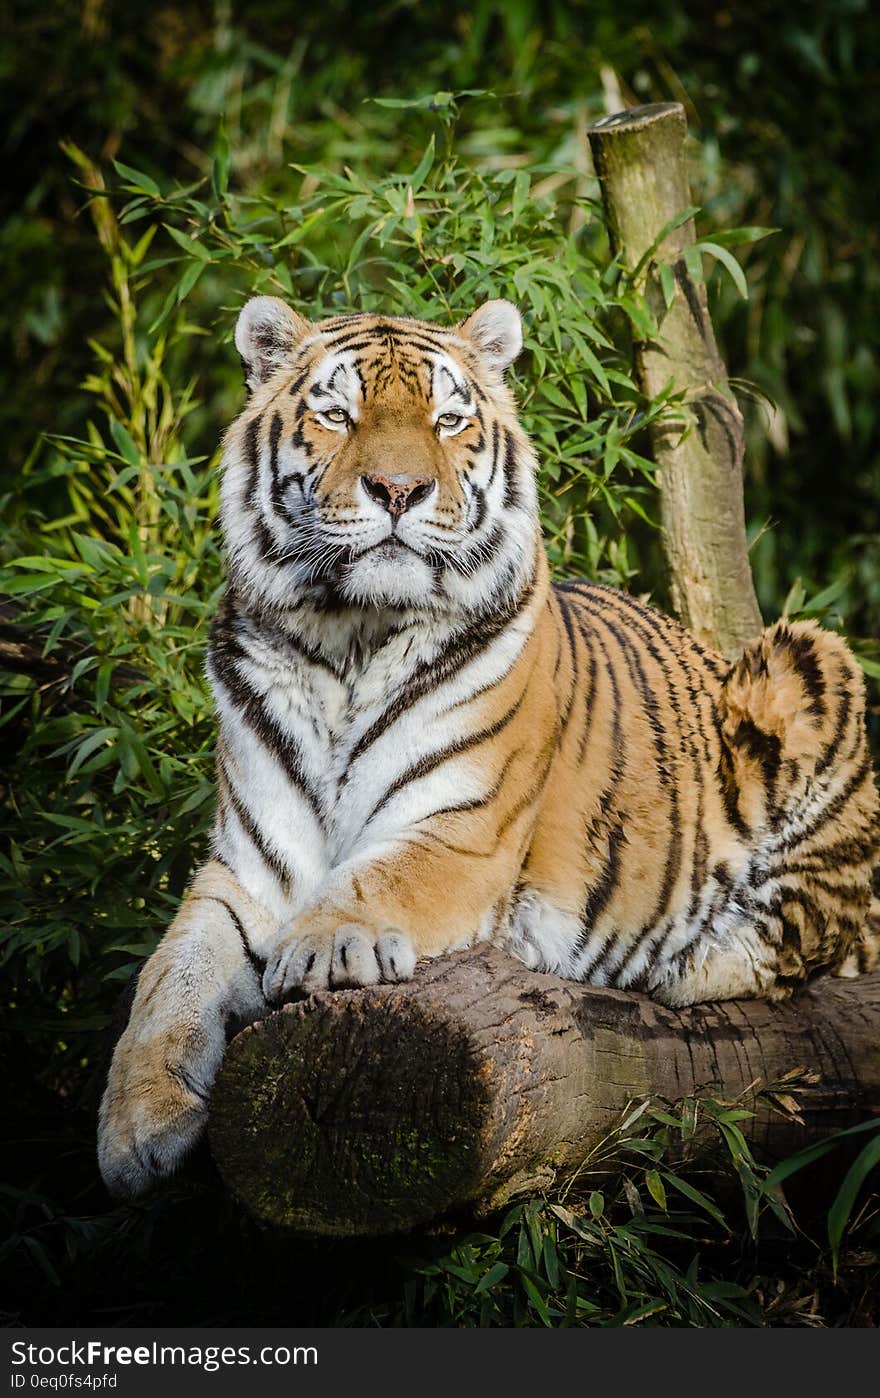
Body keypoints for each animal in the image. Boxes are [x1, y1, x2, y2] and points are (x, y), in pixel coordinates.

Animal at [95, 289, 878, 1196]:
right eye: (338, 414)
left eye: (448, 419)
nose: (399, 488)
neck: (347, 640)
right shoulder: (247, 869)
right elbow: (167, 978)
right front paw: (137, 1126)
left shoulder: (460, 833)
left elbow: (373, 880)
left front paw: (320, 949)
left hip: (807, 663)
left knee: (806, 938)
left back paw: (686, 964)